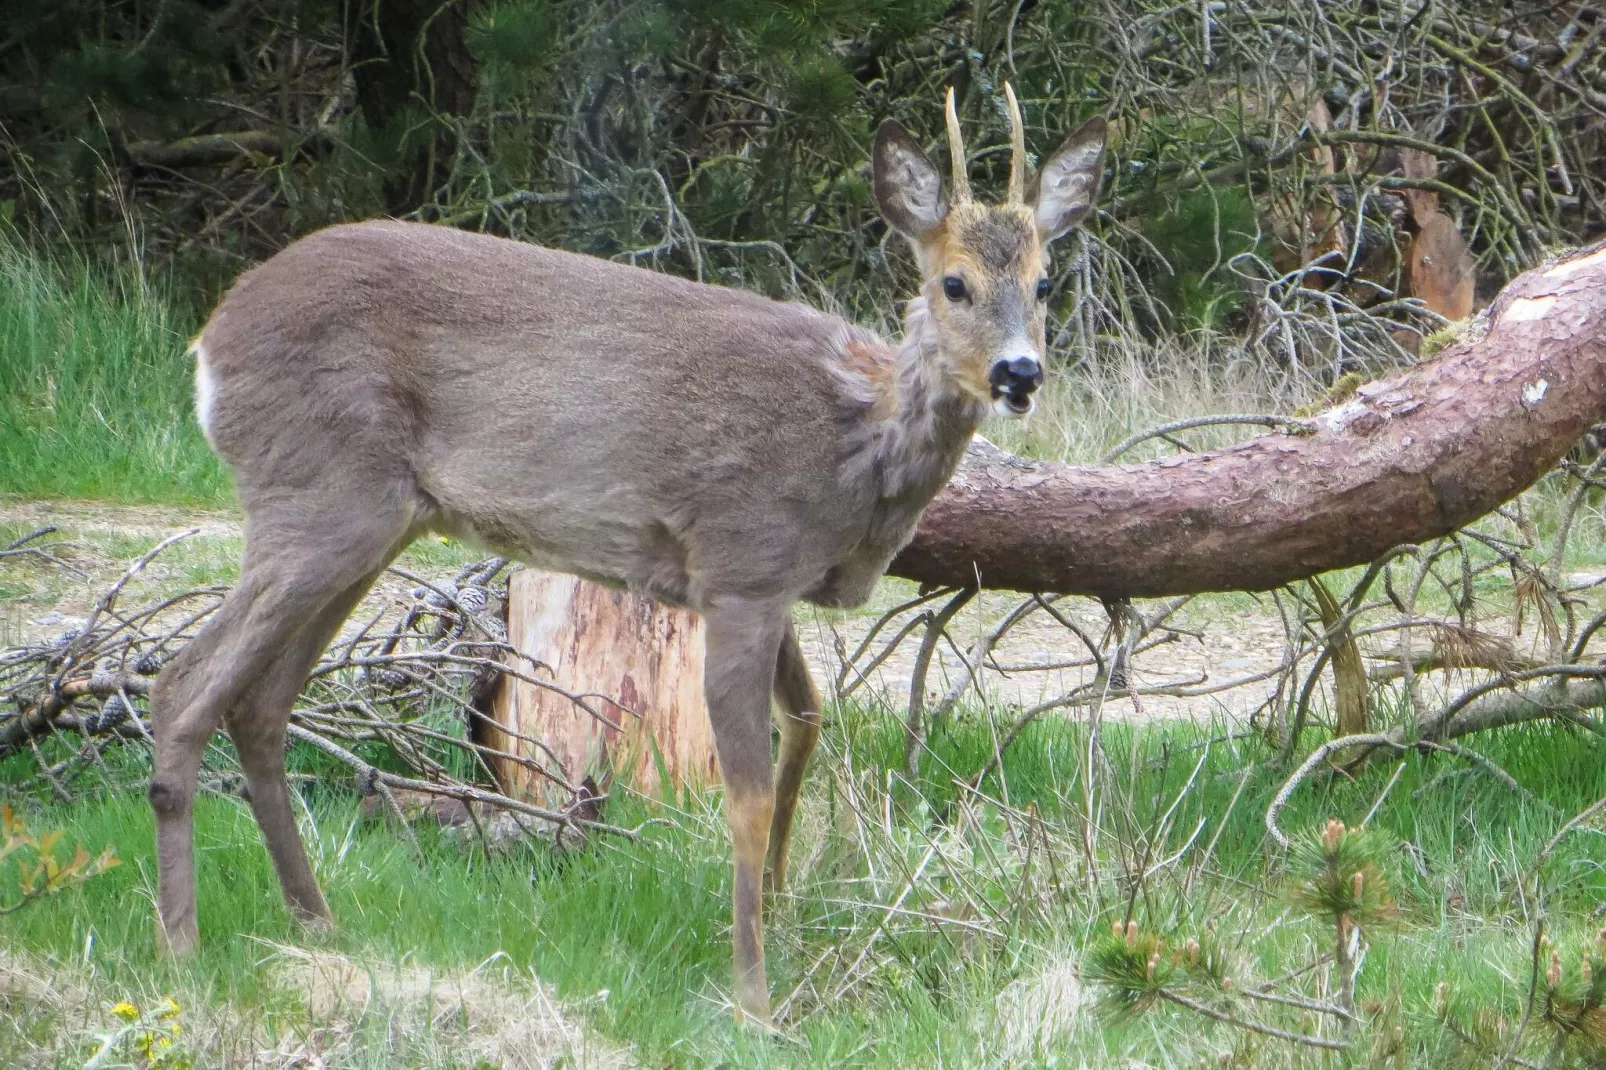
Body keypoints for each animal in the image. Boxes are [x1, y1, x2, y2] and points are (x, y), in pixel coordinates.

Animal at [150, 87, 1104, 1021]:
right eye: (954, 283)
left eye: (1045, 281)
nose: (1020, 375)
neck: (854, 445)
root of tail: (209, 344)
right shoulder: (743, 562)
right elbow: (747, 789)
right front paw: (754, 995)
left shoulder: (767, 580)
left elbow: (807, 722)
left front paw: (784, 904)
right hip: (318, 497)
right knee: (185, 683)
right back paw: (184, 947)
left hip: (369, 522)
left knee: (260, 703)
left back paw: (316, 925)